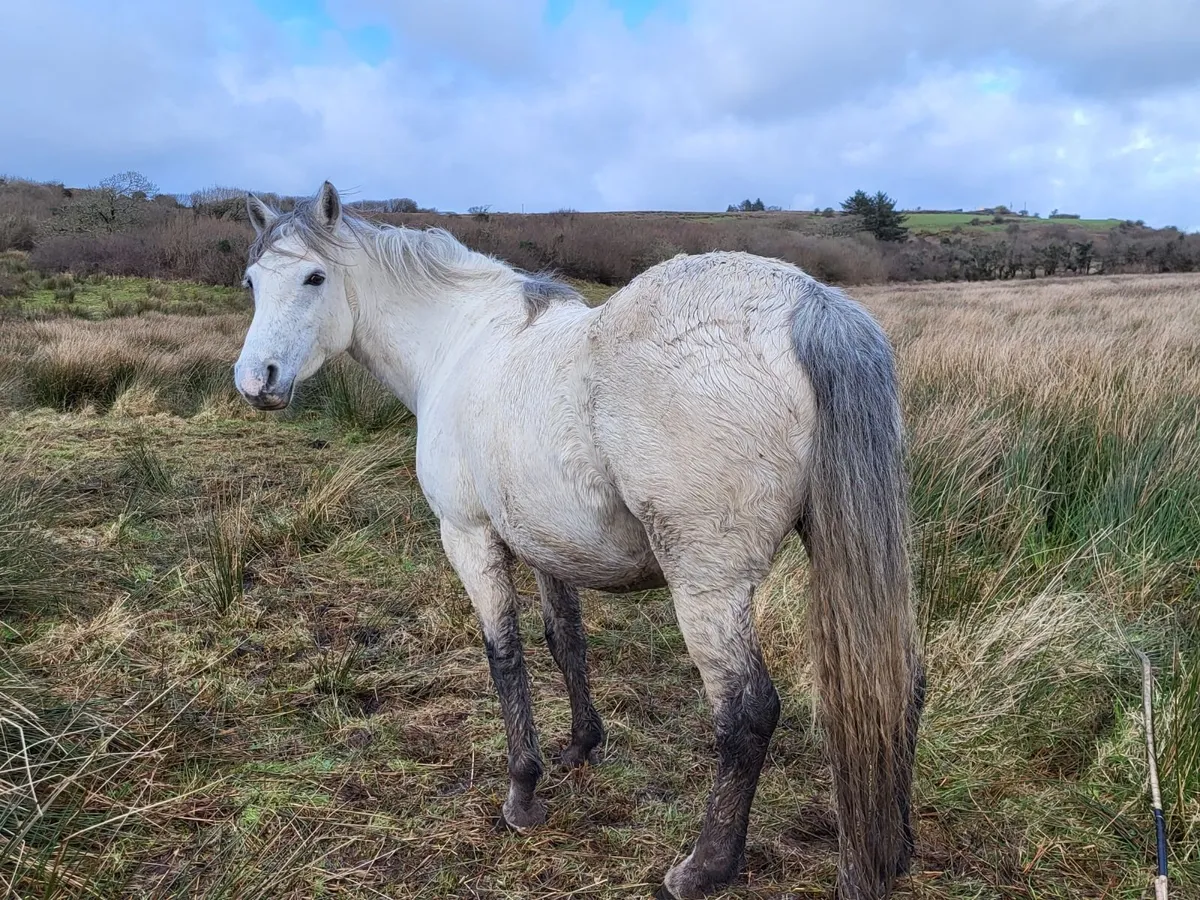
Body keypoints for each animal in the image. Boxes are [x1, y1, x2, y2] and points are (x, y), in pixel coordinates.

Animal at [233, 181, 926, 900]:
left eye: (314, 277)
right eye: (252, 282)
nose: (257, 380)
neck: (457, 343)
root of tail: (806, 305)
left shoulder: (469, 537)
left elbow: (504, 656)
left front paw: (522, 793)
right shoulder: (546, 544)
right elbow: (565, 640)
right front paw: (581, 746)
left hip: (707, 586)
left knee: (747, 713)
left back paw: (704, 866)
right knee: (900, 684)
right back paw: (896, 849)